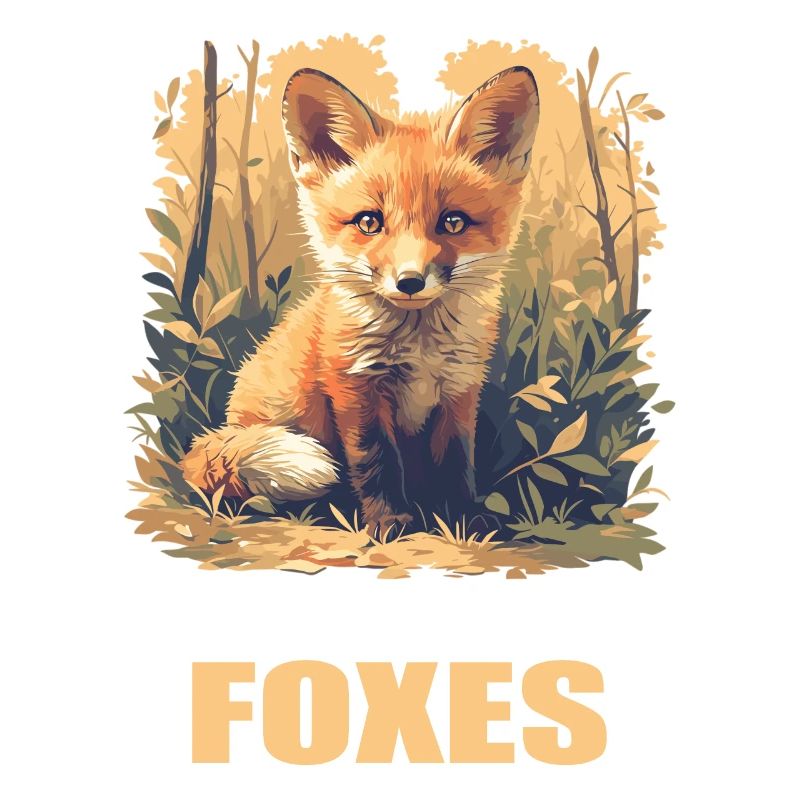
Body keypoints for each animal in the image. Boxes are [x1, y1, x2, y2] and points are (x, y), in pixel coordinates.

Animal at [182, 65, 540, 533]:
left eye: (453, 222)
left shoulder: (459, 389)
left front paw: (463, 521)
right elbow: (375, 463)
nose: (410, 281)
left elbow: (456, 463)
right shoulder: (355, 386)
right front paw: (390, 522)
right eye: (369, 222)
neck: (419, 348)